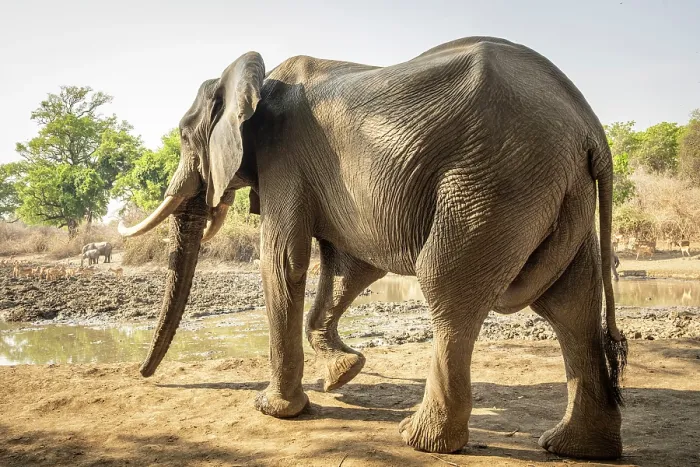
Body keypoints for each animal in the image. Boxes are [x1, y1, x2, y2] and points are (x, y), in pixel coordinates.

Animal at [119, 36, 627, 458]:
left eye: (185, 136)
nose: (143, 376)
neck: (256, 80)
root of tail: (591, 131)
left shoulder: (284, 158)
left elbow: (282, 261)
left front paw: (274, 409)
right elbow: (351, 267)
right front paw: (343, 372)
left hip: (495, 184)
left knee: (447, 286)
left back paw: (421, 441)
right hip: (555, 189)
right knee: (571, 304)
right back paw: (574, 448)